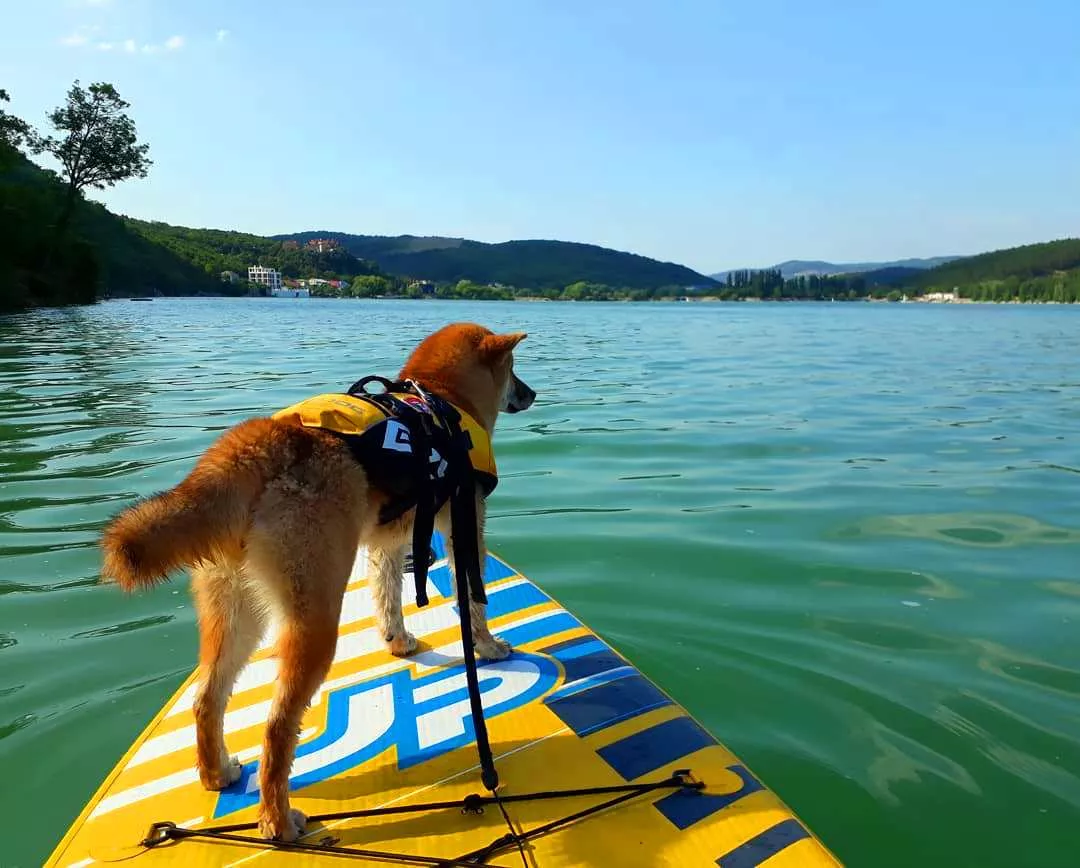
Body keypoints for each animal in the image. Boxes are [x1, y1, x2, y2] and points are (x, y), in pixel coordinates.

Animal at [100, 321, 535, 837]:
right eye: (514, 370)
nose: (531, 393)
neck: (440, 399)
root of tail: (255, 444)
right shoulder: (464, 526)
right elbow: (473, 600)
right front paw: (487, 648)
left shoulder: (386, 543)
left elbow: (388, 598)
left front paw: (399, 642)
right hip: (315, 619)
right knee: (276, 726)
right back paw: (278, 821)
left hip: (236, 612)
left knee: (207, 699)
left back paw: (217, 773)